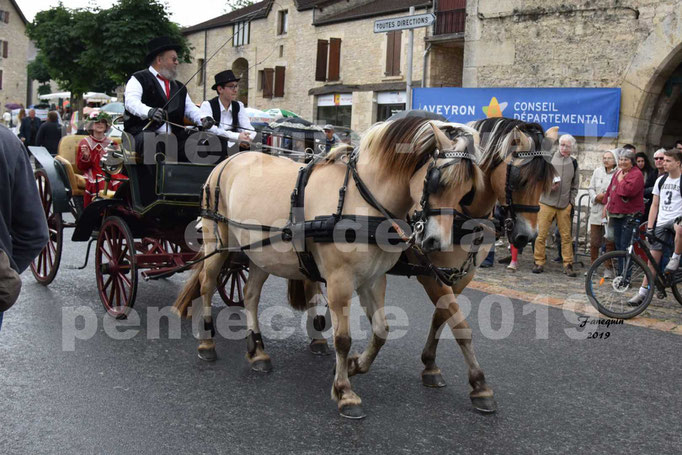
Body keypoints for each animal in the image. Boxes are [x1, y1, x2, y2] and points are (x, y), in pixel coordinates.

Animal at [175, 118, 484, 420]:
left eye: (467, 191)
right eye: (436, 181)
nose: (437, 243)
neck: (362, 200)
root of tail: (231, 159)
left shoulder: (373, 280)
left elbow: (381, 331)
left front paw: (355, 365)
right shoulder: (339, 280)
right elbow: (343, 338)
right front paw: (345, 392)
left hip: (261, 255)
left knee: (250, 295)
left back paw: (258, 352)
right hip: (218, 240)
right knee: (207, 284)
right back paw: (207, 343)